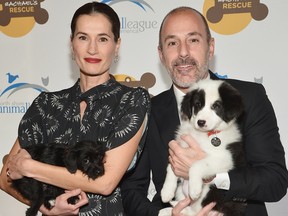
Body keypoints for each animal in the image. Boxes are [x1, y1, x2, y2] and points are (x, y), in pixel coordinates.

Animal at [160, 79, 245, 216]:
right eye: (198, 104)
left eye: (216, 106)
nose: (201, 122)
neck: (204, 135)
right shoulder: (179, 151)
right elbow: (170, 167)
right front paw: (166, 191)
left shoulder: (225, 158)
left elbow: (197, 164)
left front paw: (194, 189)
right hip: (181, 191)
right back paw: (169, 209)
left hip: (212, 192)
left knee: (197, 211)